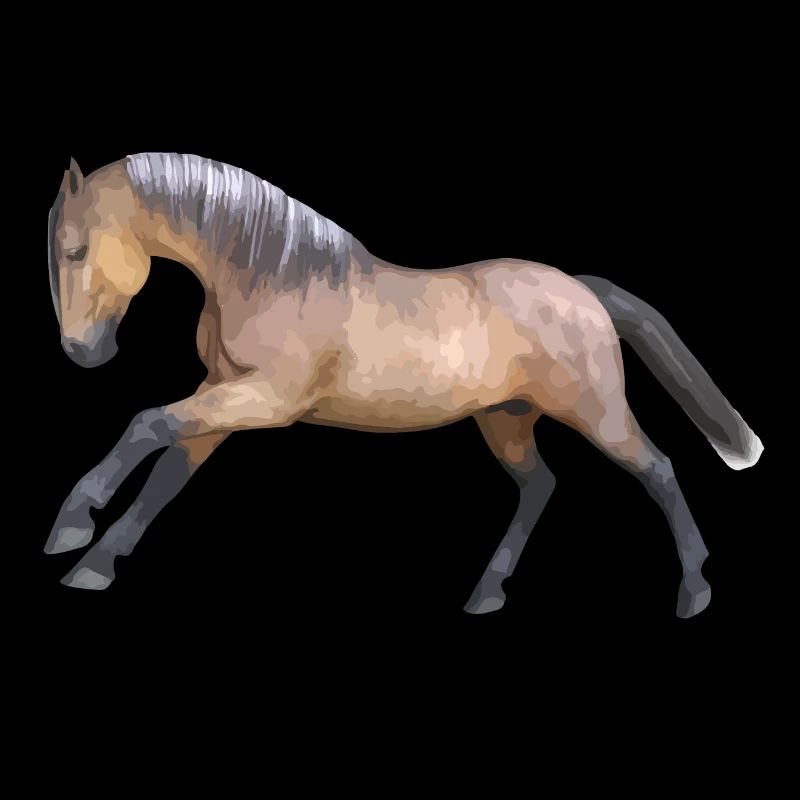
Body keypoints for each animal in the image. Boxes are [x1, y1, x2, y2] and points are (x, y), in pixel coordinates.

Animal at [44, 153, 764, 618]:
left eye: (75, 250)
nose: (83, 352)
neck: (273, 275)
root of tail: (582, 291)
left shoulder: (267, 400)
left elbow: (147, 423)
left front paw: (72, 527)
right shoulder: (223, 396)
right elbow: (169, 471)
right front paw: (94, 564)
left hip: (596, 413)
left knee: (658, 469)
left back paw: (694, 592)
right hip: (506, 418)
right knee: (540, 485)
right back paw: (486, 594)